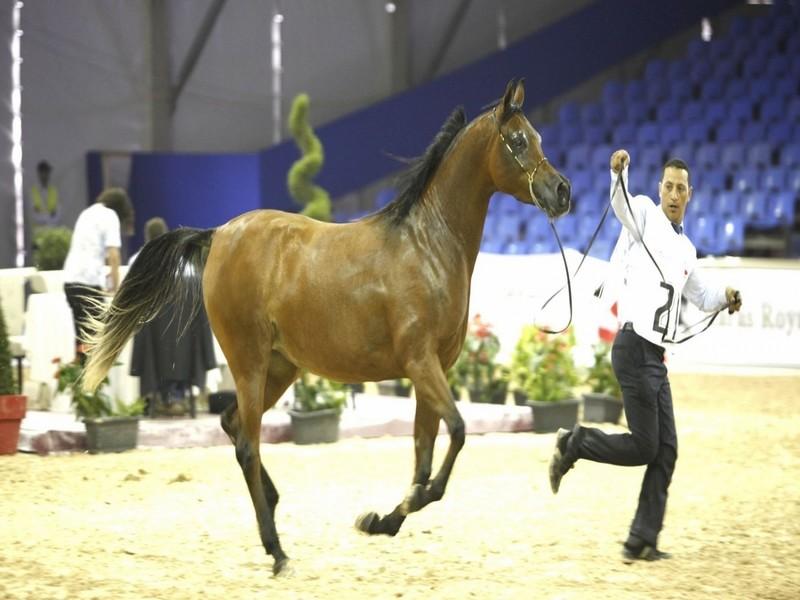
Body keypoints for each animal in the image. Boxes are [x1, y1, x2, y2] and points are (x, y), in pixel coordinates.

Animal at [83, 77, 568, 576]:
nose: (562, 191)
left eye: (539, 138)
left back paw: (274, 511)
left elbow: (423, 454)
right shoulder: (421, 364)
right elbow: (455, 435)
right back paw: (277, 551)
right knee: (248, 444)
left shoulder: (433, 371)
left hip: (279, 368)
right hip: (249, 362)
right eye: (517, 141)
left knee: (233, 424)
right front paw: (396, 510)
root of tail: (218, 234)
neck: (427, 245)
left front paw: (381, 521)